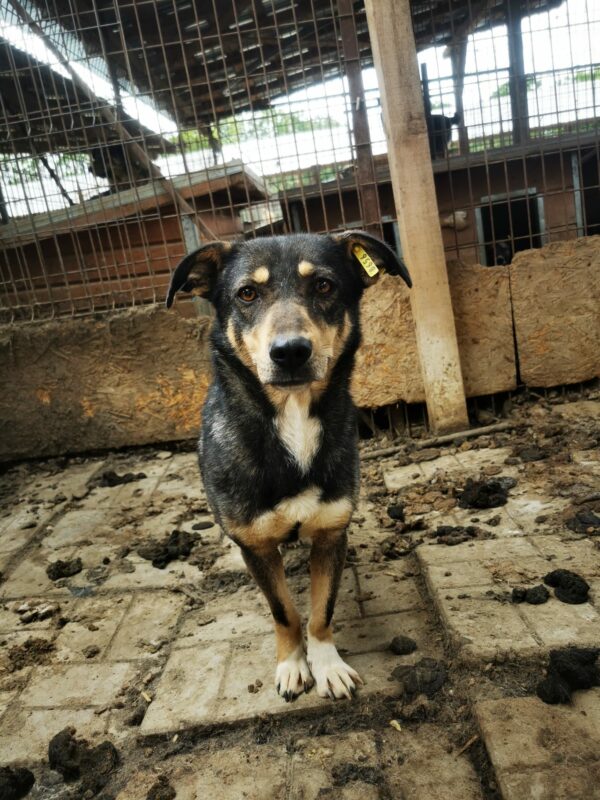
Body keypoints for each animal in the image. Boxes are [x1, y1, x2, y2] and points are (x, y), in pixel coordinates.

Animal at [166, 230, 410, 700]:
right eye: (247, 293)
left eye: (324, 286)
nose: (291, 352)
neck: (292, 416)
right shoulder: (256, 546)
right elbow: (285, 611)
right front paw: (293, 663)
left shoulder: (331, 534)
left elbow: (321, 610)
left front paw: (327, 664)